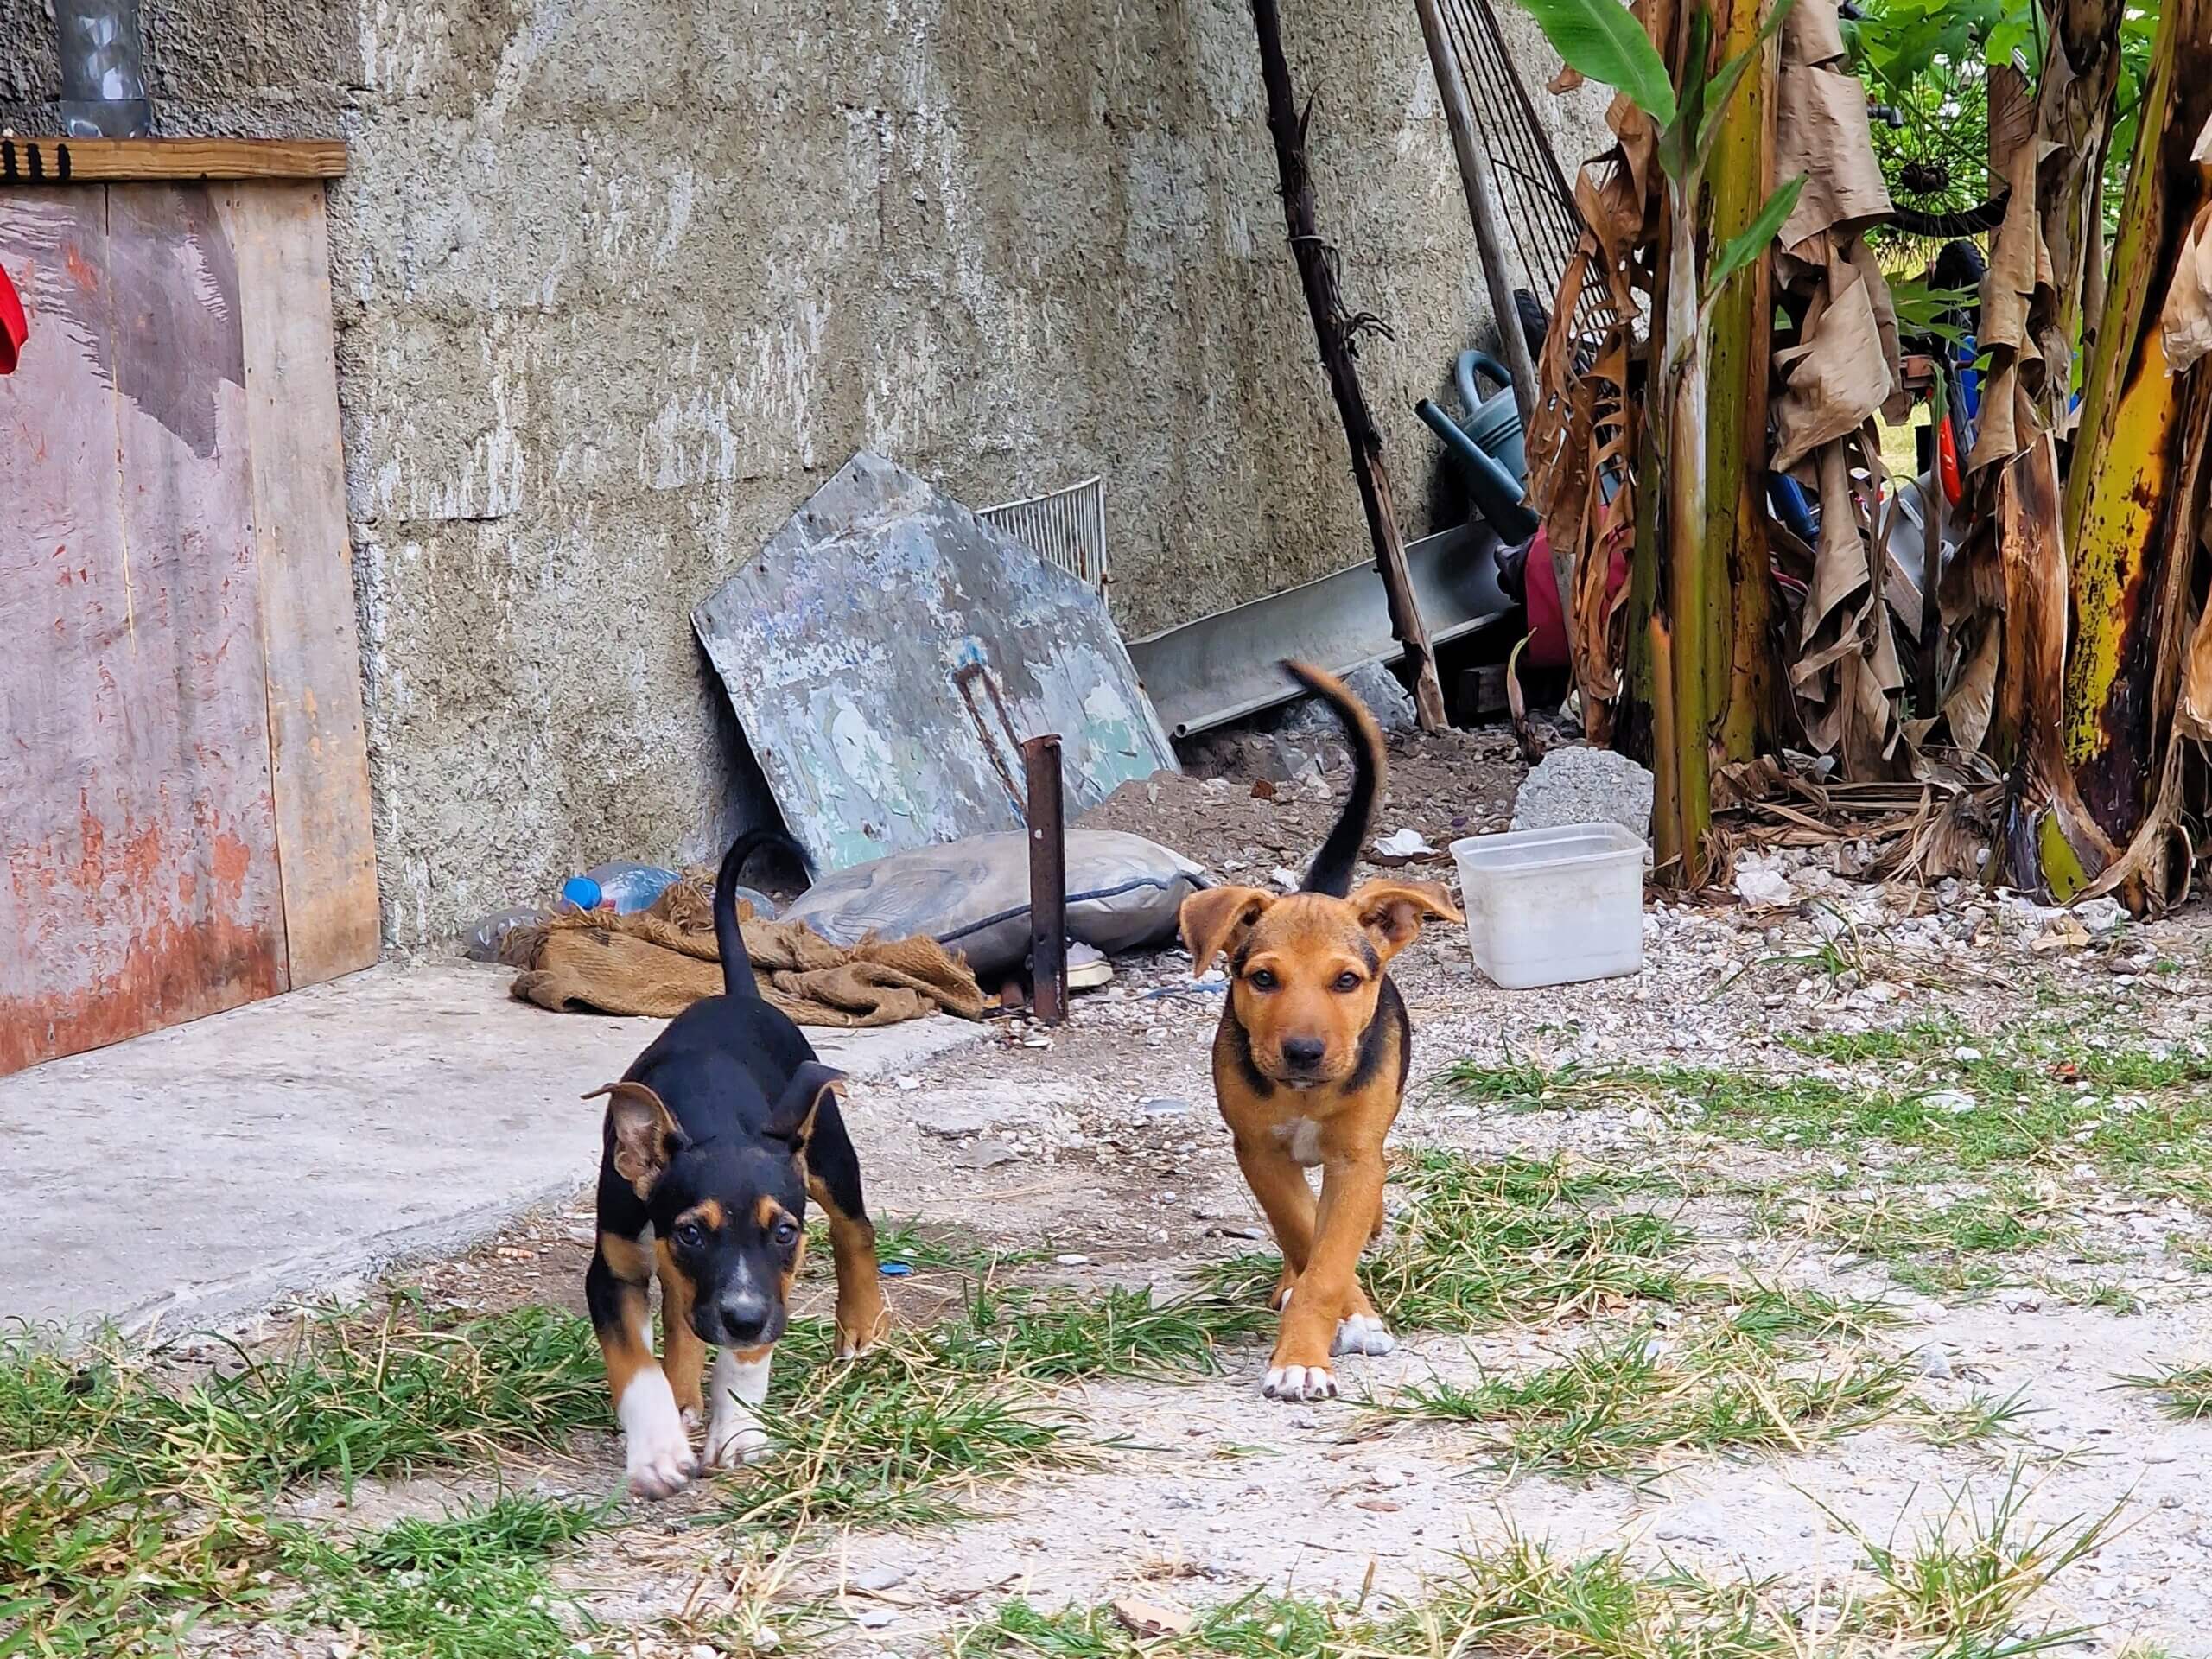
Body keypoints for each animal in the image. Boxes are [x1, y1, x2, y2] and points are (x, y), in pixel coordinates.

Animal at [583, 836, 885, 1503]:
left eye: (785, 1232)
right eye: (693, 1232)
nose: (742, 1320)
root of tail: (743, 996)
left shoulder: (772, 1288)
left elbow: (747, 1357)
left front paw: (741, 1433)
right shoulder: (613, 1270)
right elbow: (635, 1364)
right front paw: (659, 1452)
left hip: (827, 1152)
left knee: (856, 1228)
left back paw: (861, 1323)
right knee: (678, 1305)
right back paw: (683, 1393)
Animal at [1185, 664, 1459, 1407]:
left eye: (1345, 981)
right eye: (1262, 979)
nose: (1304, 1051)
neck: (1305, 1093)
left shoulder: (1356, 1157)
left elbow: (1331, 1252)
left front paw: (1324, 1338)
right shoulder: (1258, 1150)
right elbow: (1304, 1234)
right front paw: (1328, 1327)